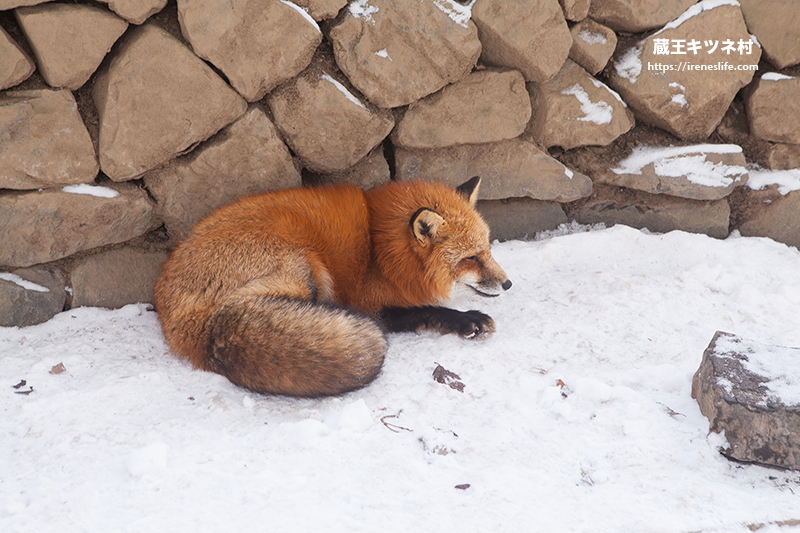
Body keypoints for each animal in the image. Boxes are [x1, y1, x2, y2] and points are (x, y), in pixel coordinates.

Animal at [153, 177, 510, 396]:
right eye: (471, 258)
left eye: (487, 250)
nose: (507, 284)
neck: (382, 248)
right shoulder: (372, 304)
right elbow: (425, 310)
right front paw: (468, 320)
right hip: (306, 267)